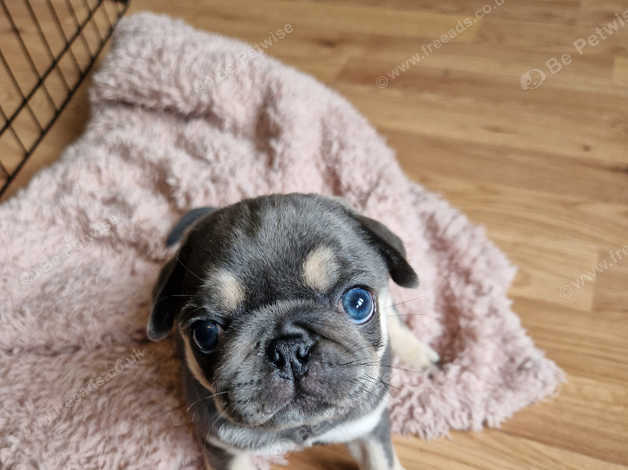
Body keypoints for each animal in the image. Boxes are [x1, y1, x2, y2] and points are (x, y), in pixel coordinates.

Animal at [149, 193, 440, 468]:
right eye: (205, 334)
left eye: (358, 303)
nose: (288, 349)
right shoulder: (223, 449)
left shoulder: (369, 426)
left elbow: (382, 460)